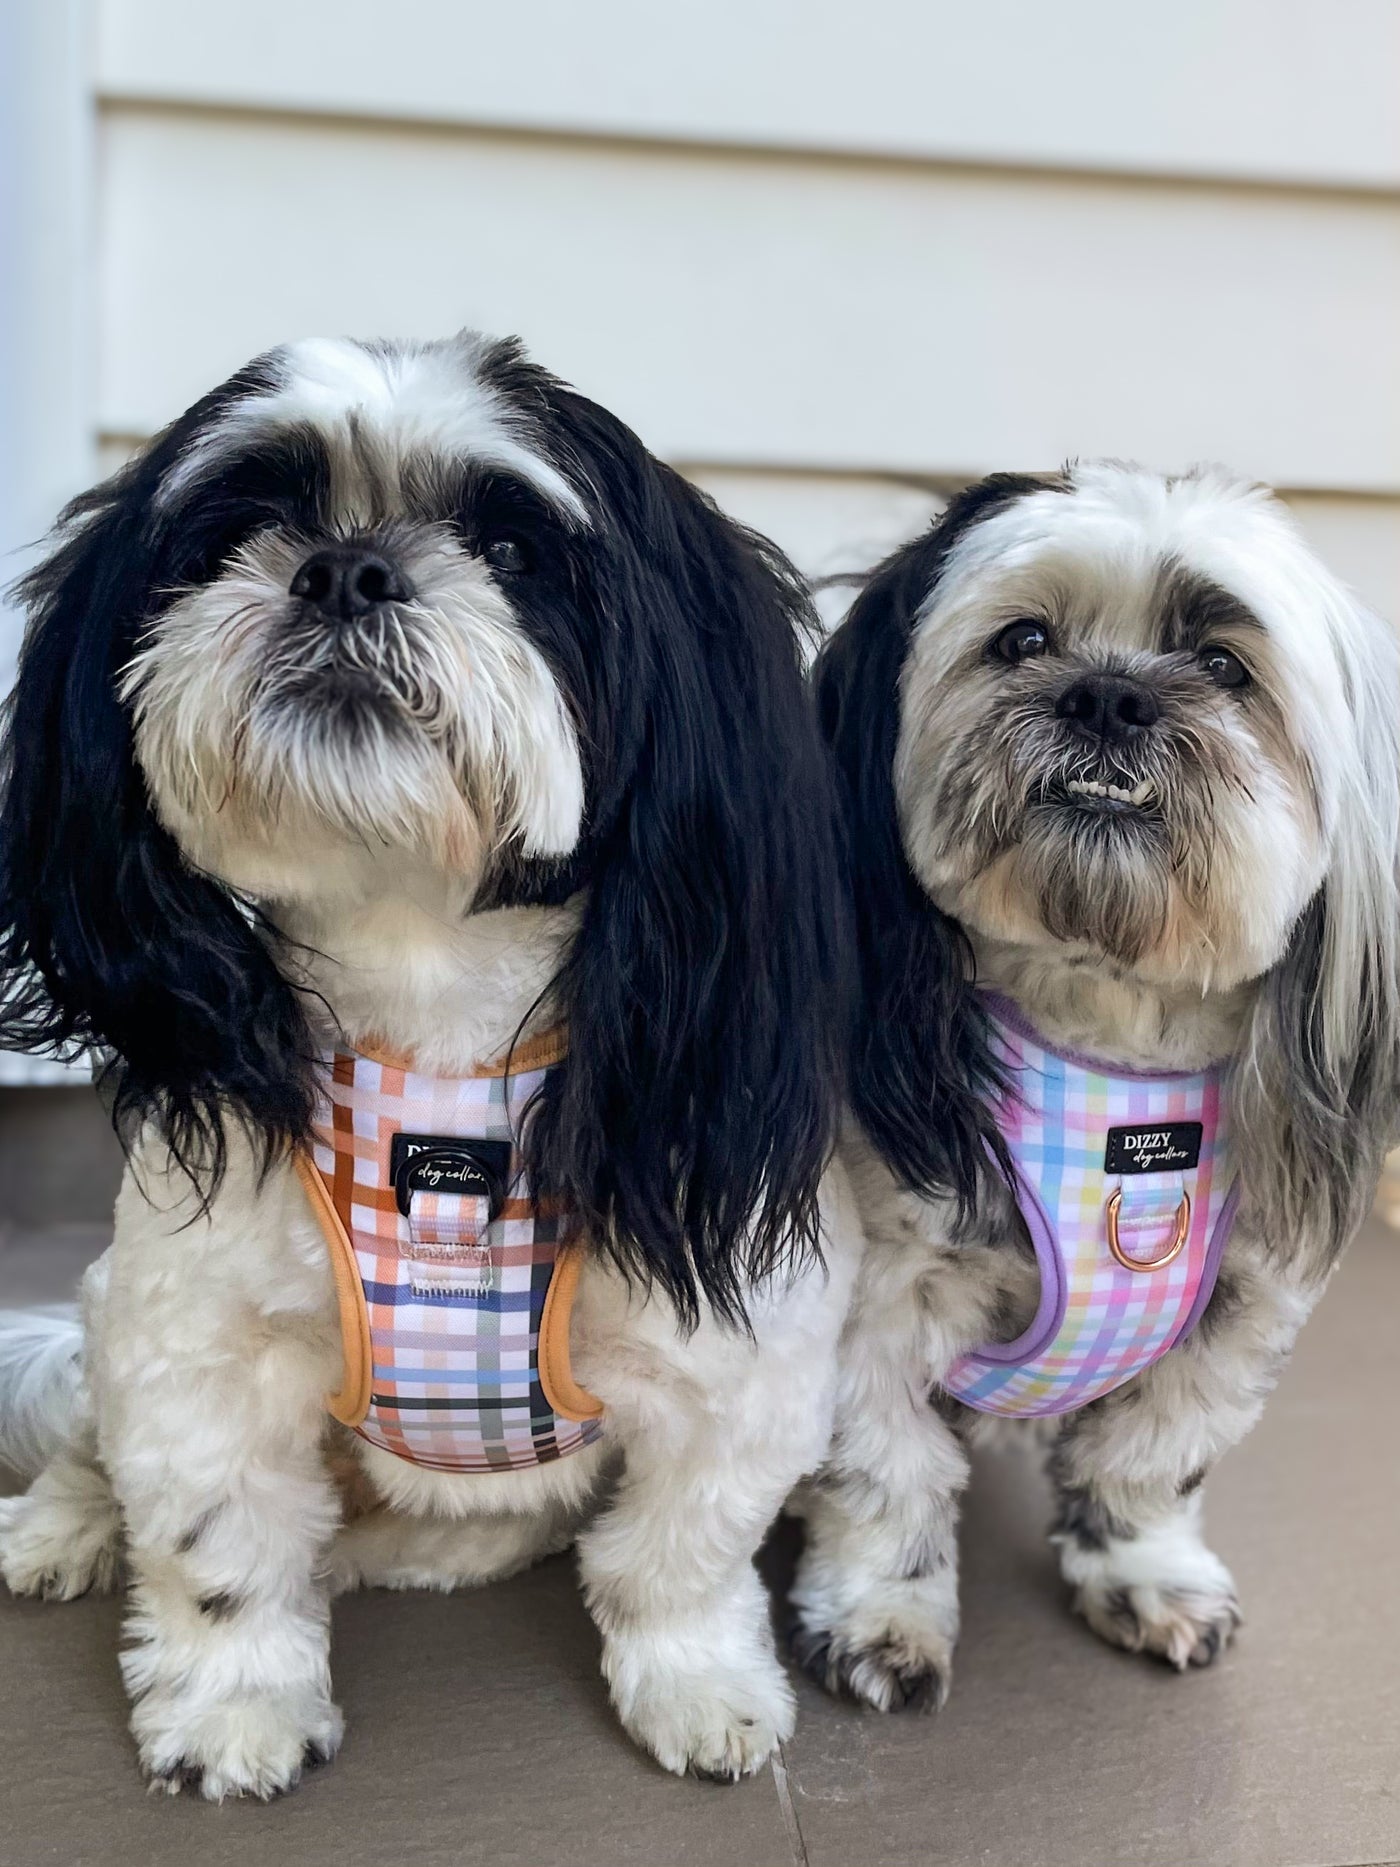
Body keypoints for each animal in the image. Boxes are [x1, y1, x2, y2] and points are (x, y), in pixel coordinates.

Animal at [0, 332, 862, 1792]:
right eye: (237, 529)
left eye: (510, 547)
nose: (343, 565)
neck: (434, 1018)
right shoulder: (189, 1341)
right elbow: (217, 1541)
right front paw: (235, 1705)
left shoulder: (740, 1362)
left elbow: (676, 1555)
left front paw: (697, 1682)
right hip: (113, 1307)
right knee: (92, 1447)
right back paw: (57, 1527)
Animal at [795, 463, 1396, 1710]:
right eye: (1022, 639)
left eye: (1220, 662)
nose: (1108, 697)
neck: (1114, 1041)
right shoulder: (879, 1301)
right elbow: (886, 1471)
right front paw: (880, 1613)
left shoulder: (1232, 1316)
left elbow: (1149, 1458)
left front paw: (1142, 1572)